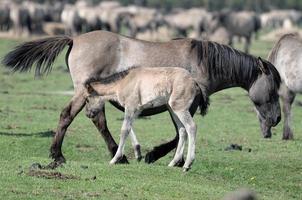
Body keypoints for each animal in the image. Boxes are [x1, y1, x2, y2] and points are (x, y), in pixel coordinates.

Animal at [1, 30, 280, 169]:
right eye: (274, 88)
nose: (277, 118)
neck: (202, 61)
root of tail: (75, 38)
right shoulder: (180, 105)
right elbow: (179, 133)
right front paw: (156, 156)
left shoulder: (176, 105)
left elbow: (180, 132)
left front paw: (161, 157)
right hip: (84, 92)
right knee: (69, 115)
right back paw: (58, 155)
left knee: (97, 119)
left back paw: (118, 154)